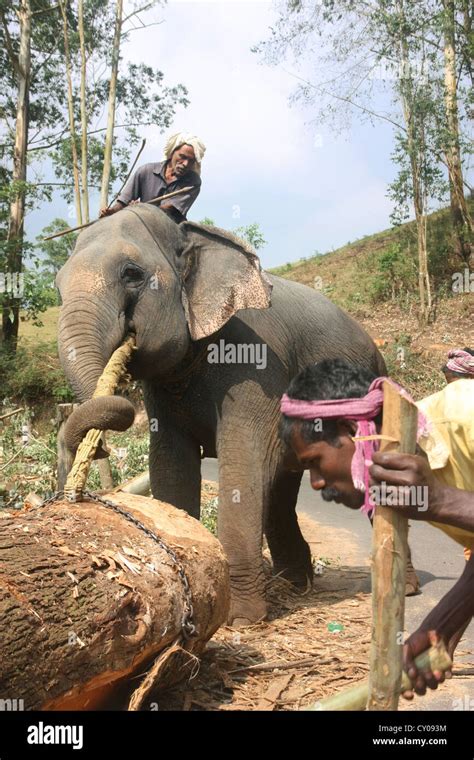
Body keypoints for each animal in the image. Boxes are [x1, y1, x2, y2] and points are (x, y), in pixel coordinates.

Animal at [55, 203, 386, 624]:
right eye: (57, 288)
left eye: (132, 274)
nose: (97, 449)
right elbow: (170, 462)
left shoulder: (256, 363)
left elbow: (243, 456)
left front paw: (240, 618)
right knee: (281, 485)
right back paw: (295, 585)